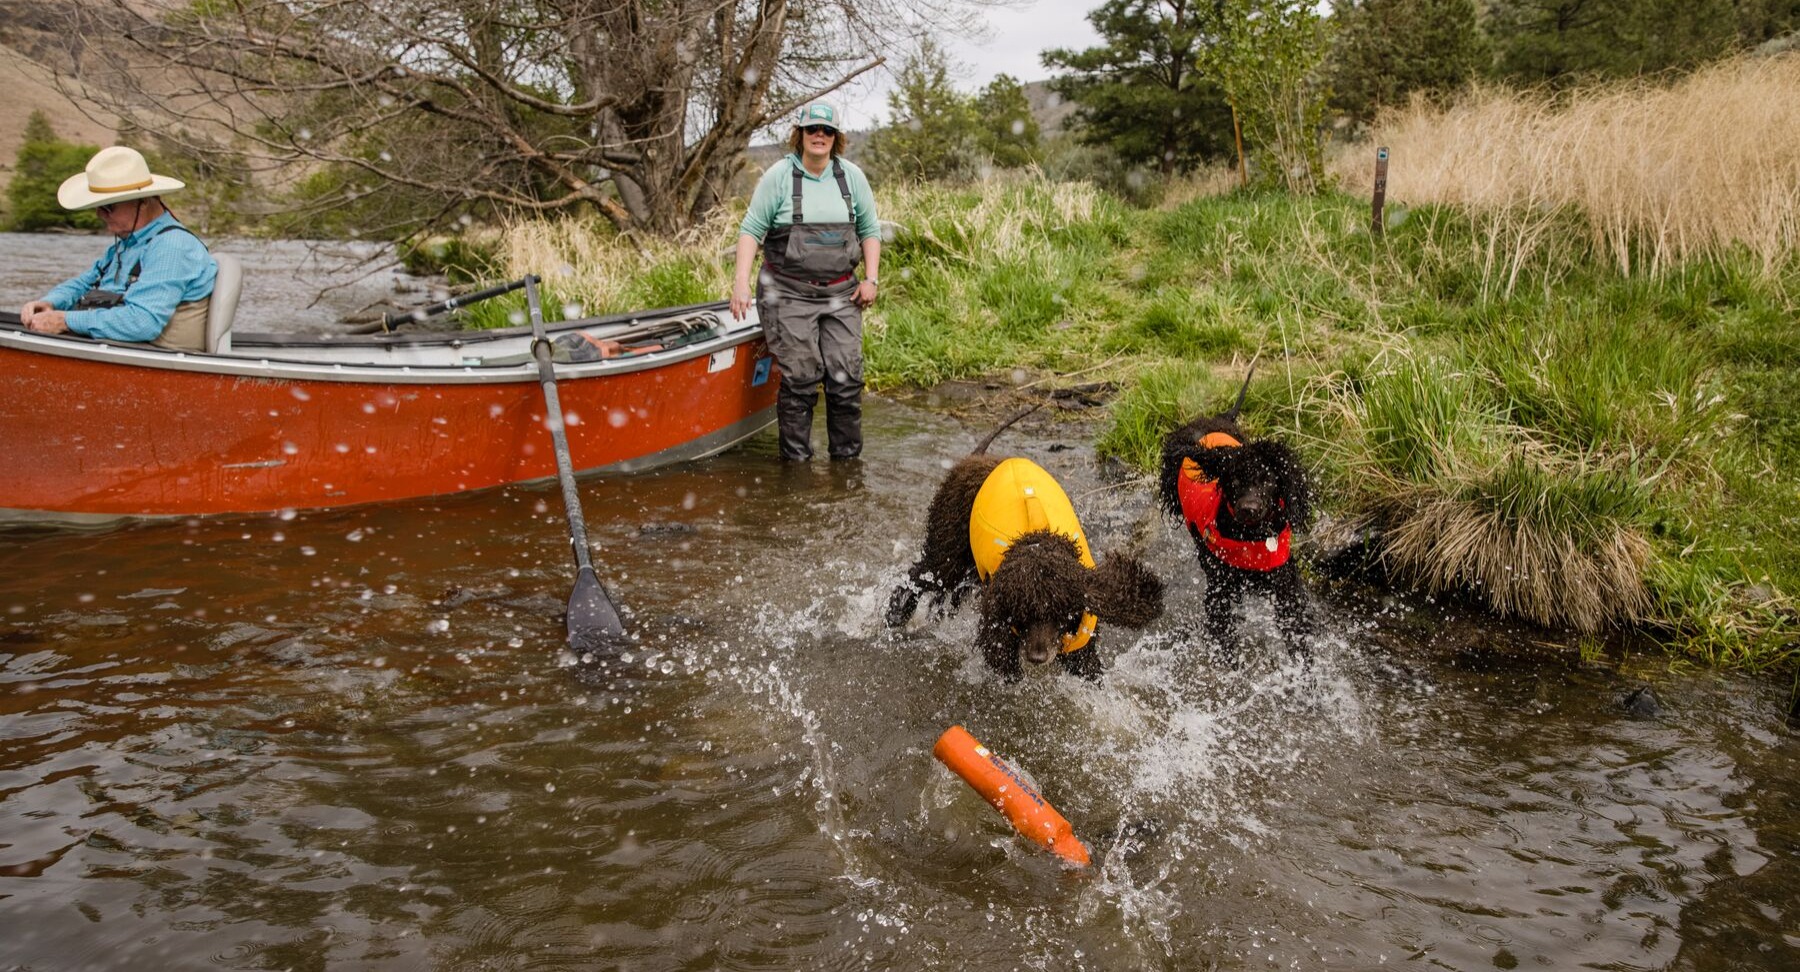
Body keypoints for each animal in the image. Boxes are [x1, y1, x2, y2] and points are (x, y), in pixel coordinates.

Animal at [885, 406, 1166, 680]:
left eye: (1059, 612)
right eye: (1021, 614)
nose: (1037, 657)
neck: (1037, 540)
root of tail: (975, 458)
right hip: (947, 555)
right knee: (917, 578)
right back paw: (895, 616)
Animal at [1159, 367, 1317, 662]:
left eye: (1269, 479)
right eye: (1233, 480)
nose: (1248, 509)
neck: (1252, 537)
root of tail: (1219, 417)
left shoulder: (1286, 588)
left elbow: (1298, 636)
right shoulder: (1219, 593)